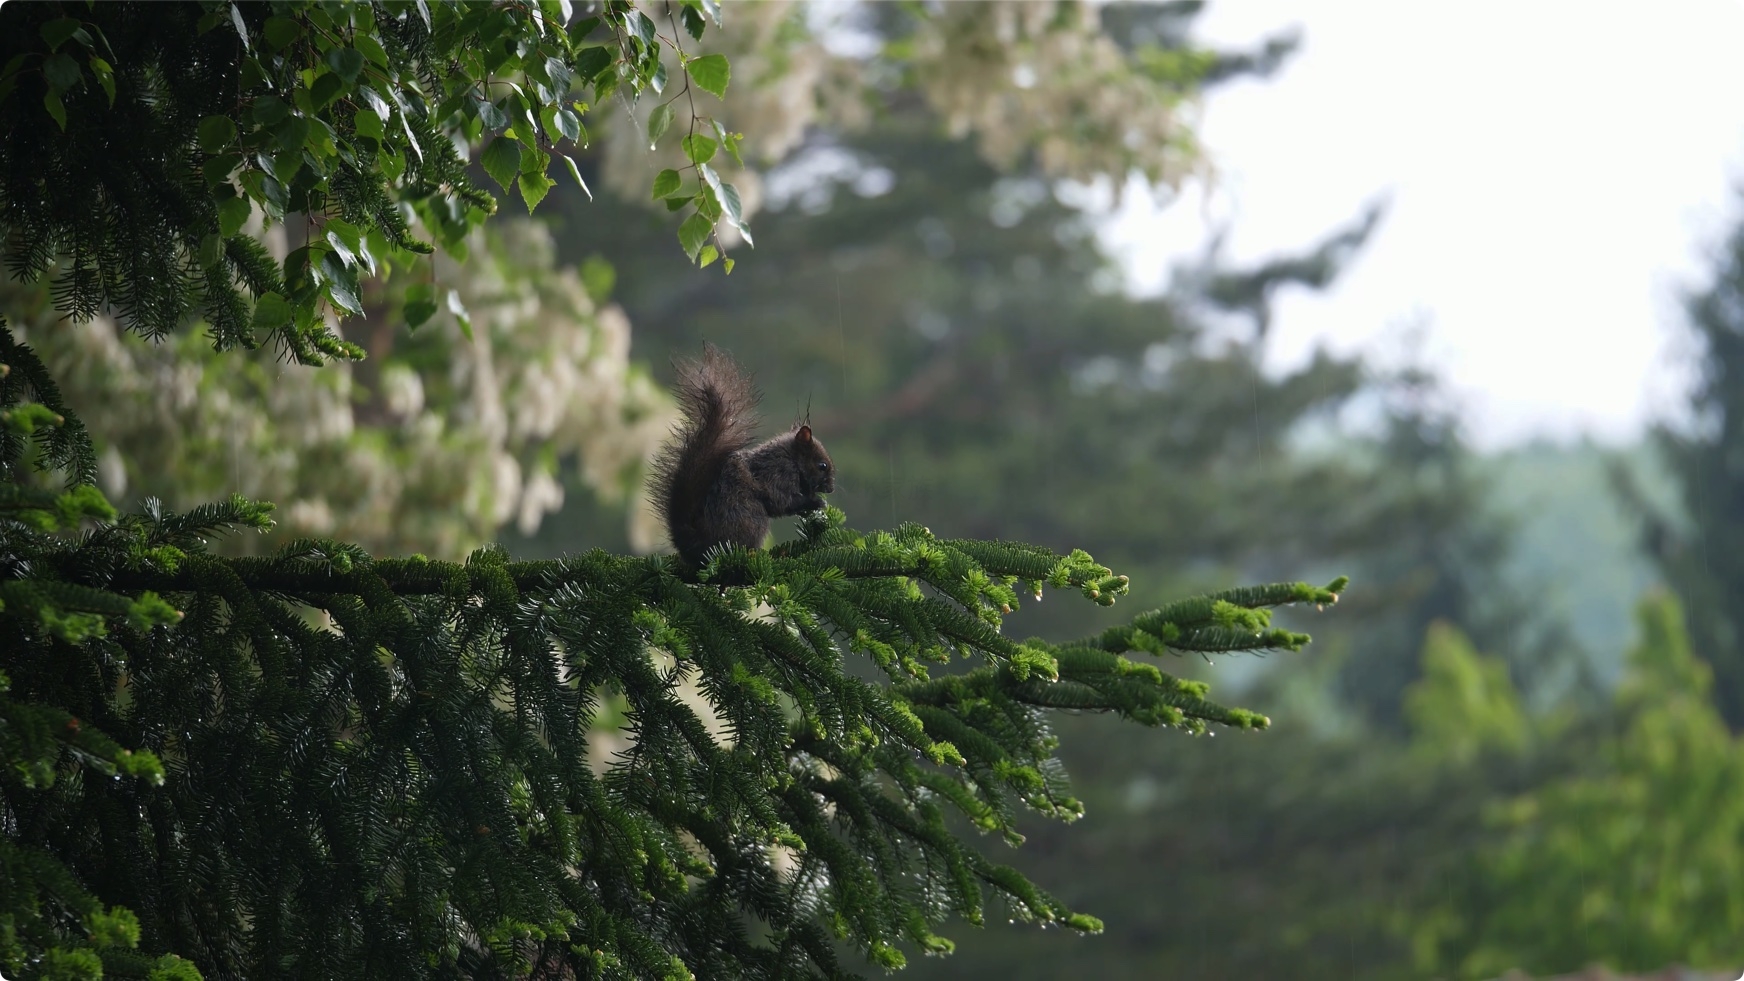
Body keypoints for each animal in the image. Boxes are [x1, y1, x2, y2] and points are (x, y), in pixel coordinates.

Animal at [650, 344, 835, 565]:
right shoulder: (778, 474)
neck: (791, 458)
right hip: (750, 518)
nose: (831, 488)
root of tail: (695, 545)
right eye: (822, 465)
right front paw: (816, 501)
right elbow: (782, 501)